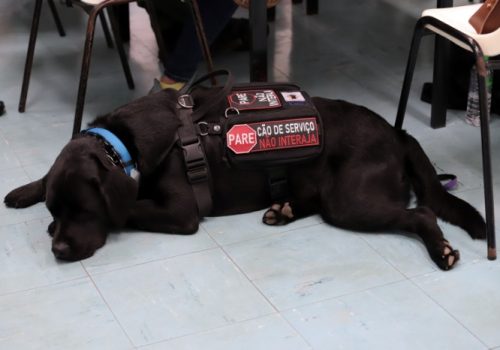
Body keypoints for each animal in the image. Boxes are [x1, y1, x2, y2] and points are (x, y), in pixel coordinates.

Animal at [3, 88, 486, 268]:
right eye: (58, 207)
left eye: (86, 210)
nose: (59, 250)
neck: (123, 143)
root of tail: (397, 132)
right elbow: (47, 177)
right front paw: (27, 193)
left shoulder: (182, 212)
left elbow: (130, 209)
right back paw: (283, 209)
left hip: (350, 200)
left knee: (421, 213)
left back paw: (442, 251)